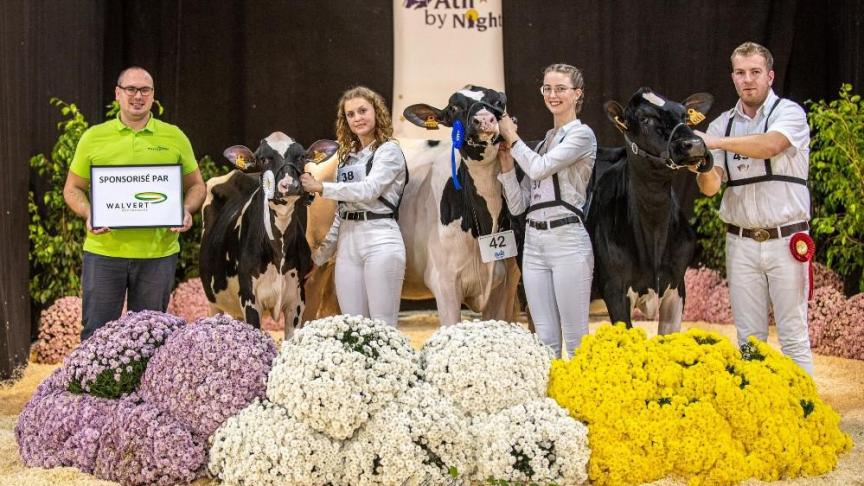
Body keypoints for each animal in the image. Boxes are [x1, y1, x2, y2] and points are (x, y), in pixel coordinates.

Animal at [201, 135, 340, 336]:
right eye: (263, 159)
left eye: (301, 156)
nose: (289, 185)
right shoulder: (250, 300)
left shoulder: (297, 301)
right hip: (213, 301)